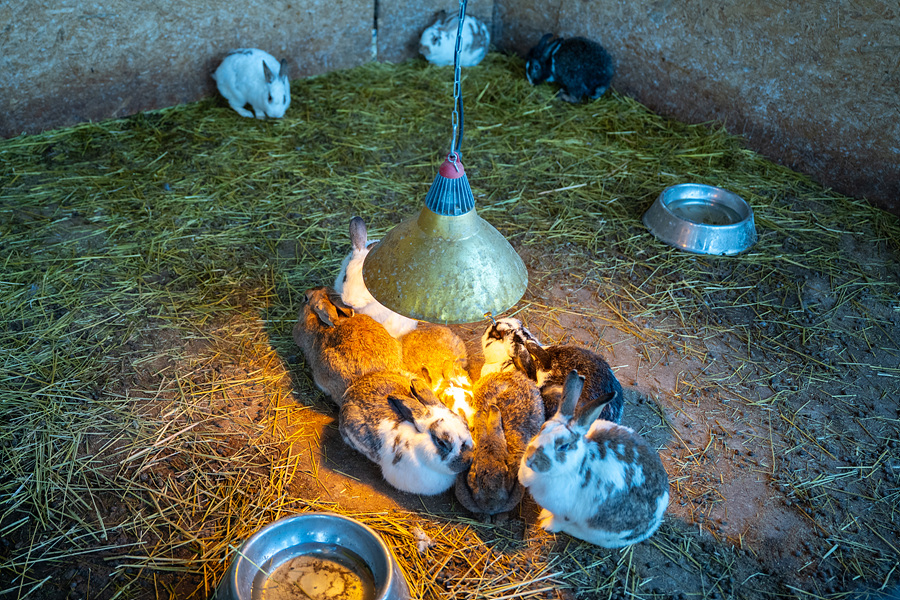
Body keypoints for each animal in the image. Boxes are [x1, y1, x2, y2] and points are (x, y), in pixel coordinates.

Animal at [520, 368, 668, 548]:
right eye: (542, 428)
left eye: (563, 446)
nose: (530, 459)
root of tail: (656, 520)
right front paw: (543, 514)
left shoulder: (565, 513)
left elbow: (558, 521)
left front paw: (546, 525)